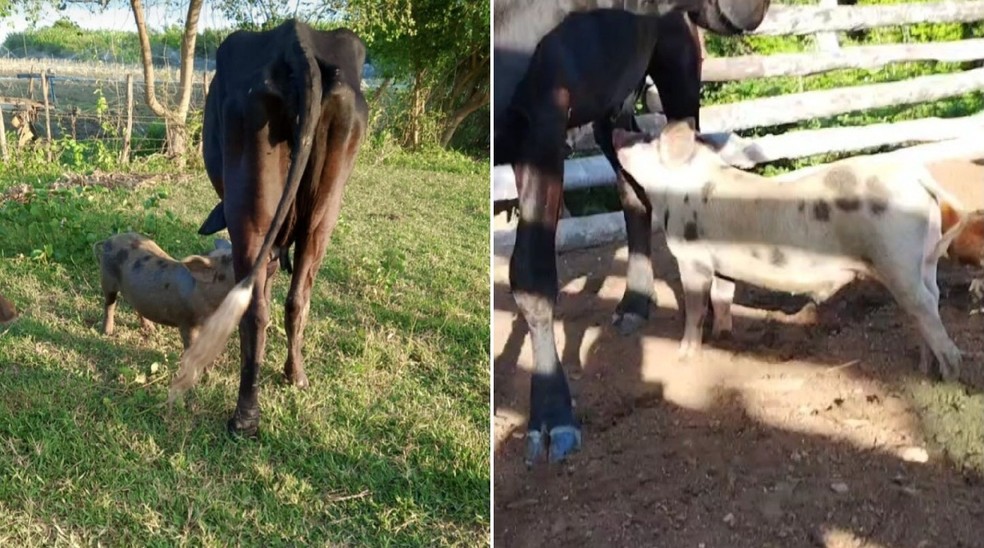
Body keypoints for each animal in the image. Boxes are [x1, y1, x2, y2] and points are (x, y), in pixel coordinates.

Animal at [95, 232, 235, 351]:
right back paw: (107, 332)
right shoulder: (187, 322)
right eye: (230, 259)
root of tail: (109, 240)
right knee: (109, 304)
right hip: (106, 279)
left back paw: (151, 330)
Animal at [167, 19, 368, 438]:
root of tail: (297, 40)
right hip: (324, 213)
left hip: (250, 214)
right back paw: (296, 375)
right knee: (299, 296)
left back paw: (245, 415)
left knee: (254, 308)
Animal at [494, 0, 772, 465]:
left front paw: (551, 417)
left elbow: (532, 275)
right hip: (613, 107)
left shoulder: (541, 127)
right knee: (633, 192)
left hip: (677, 74)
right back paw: (636, 300)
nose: (757, 7)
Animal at [613, 119, 969, 381]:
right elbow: (723, 298)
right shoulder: (723, 264)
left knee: (924, 306)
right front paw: (724, 337)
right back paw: (925, 370)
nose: (618, 131)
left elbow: (696, 309)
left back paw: (951, 375)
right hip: (924, 260)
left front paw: (684, 356)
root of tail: (916, 178)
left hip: (897, 258)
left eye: (645, 138)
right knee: (932, 300)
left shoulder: (692, 258)